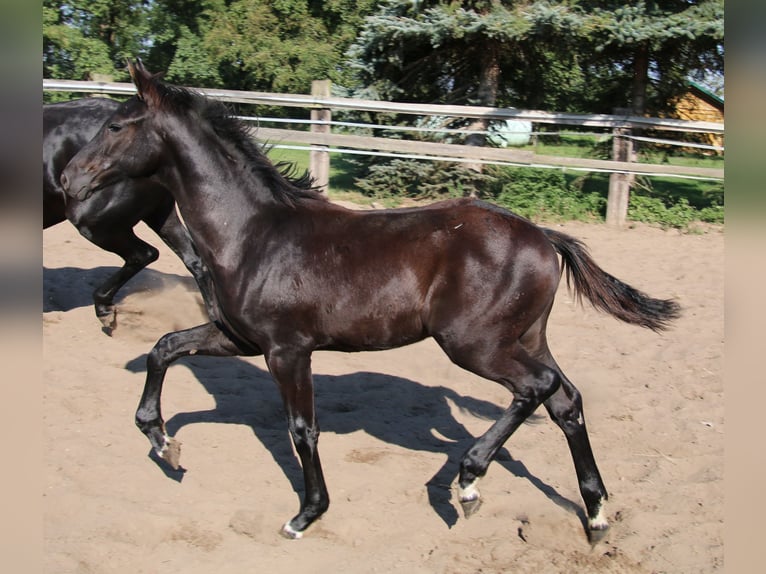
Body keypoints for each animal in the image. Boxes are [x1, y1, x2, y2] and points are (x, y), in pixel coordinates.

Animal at [44, 99, 216, 332]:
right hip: (160, 214)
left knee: (144, 253)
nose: (67, 179)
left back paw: (105, 311)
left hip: (94, 222)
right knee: (195, 261)